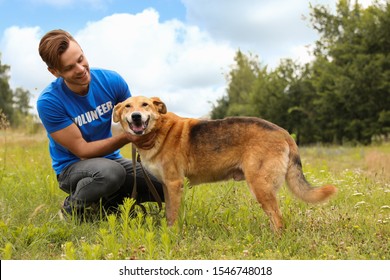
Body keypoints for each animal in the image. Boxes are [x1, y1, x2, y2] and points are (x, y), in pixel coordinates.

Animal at [112, 95, 336, 232]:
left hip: (260, 187)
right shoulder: (168, 186)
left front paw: (172, 236)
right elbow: (170, 215)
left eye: (145, 105)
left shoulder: (174, 184)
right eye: (127, 106)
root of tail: (283, 132)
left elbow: (173, 216)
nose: (136, 116)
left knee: (278, 220)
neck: (158, 131)